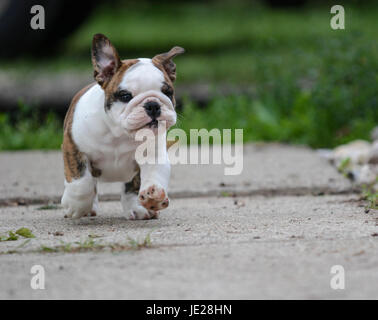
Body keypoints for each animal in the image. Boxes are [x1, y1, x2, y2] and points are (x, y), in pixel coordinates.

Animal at [61, 34, 185, 220]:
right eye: (125, 96)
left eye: (167, 92)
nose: (153, 105)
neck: (118, 133)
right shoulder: (74, 149)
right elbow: (82, 182)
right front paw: (77, 206)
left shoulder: (153, 155)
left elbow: (149, 177)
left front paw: (152, 196)